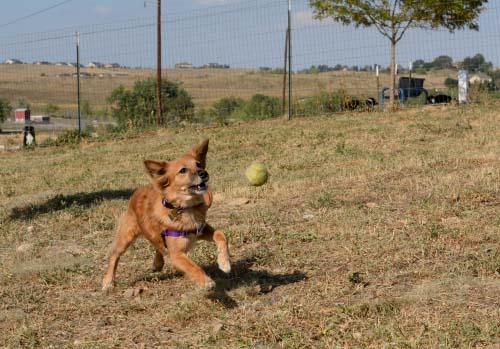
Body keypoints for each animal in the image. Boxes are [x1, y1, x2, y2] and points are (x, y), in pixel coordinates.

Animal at [103, 140, 232, 290]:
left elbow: (221, 235)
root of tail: (138, 191)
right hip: (126, 237)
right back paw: (108, 280)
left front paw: (224, 262)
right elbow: (192, 266)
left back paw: (157, 262)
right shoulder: (176, 255)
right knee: (115, 255)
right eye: (183, 170)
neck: (184, 208)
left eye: (199, 164)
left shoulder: (200, 229)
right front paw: (205, 281)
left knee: (157, 244)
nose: (204, 173)